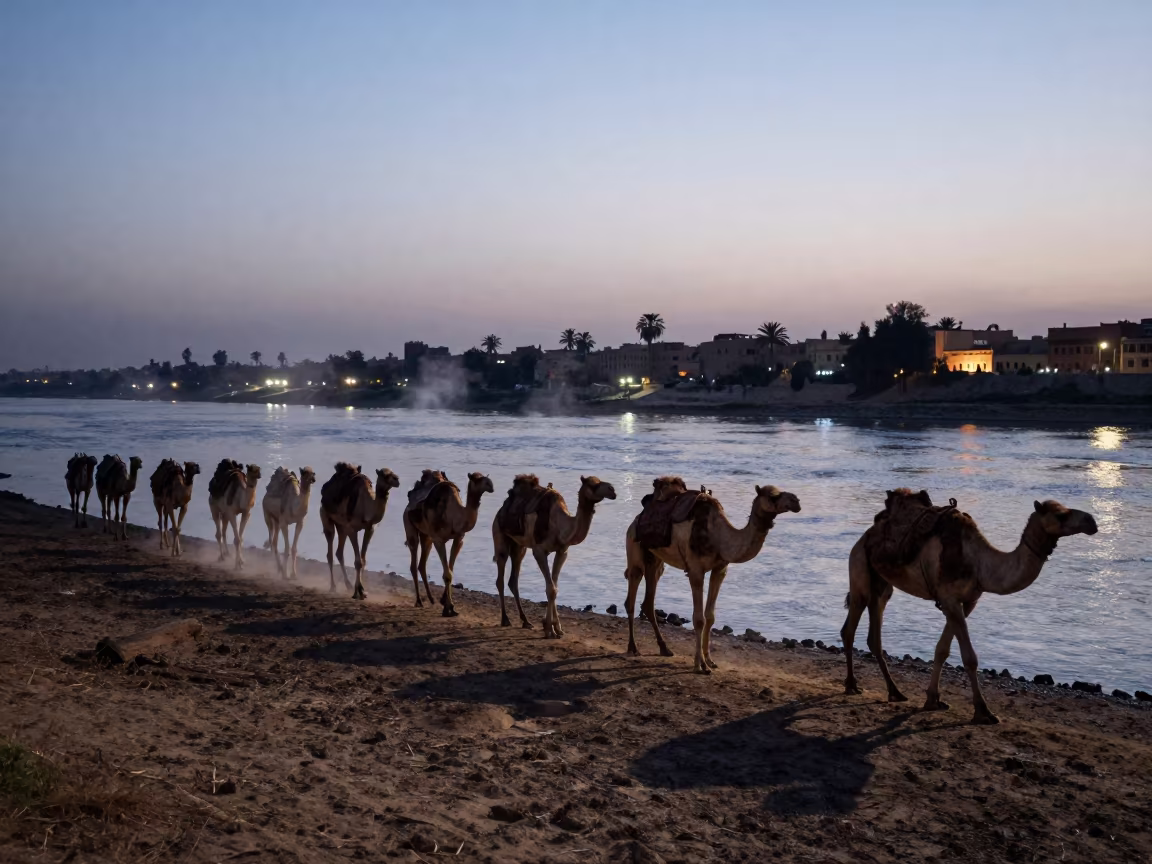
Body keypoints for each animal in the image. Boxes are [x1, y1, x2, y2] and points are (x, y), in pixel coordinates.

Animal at [319, 463, 400, 599]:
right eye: (384, 475)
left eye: (393, 473)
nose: (397, 479)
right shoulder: (352, 529)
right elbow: (358, 562)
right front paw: (359, 592)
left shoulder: (370, 528)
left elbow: (363, 560)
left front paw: (362, 591)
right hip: (326, 516)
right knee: (330, 551)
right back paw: (333, 587)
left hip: (341, 526)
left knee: (339, 552)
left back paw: (348, 585)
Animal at [404, 471, 495, 615]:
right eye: (476, 479)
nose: (491, 485)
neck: (454, 515)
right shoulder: (438, 540)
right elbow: (447, 574)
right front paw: (448, 608)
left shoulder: (459, 538)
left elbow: (450, 571)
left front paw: (447, 604)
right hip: (409, 526)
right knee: (413, 561)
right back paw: (419, 601)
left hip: (426, 536)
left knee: (421, 564)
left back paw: (431, 599)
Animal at [492, 474, 617, 637]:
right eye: (593, 484)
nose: (612, 490)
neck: (560, 526)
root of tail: (500, 510)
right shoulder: (539, 551)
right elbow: (550, 589)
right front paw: (549, 630)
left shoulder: (562, 551)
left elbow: (554, 587)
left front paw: (556, 628)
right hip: (499, 535)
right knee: (500, 577)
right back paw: (505, 619)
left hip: (519, 547)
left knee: (513, 580)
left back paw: (526, 621)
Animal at [624, 479, 801, 673]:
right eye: (772, 496)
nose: (797, 501)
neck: (719, 537)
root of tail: (635, 520)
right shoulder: (695, 570)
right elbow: (698, 619)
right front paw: (699, 665)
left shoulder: (720, 569)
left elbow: (710, 616)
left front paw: (710, 660)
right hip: (634, 548)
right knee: (631, 595)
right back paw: (633, 648)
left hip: (656, 560)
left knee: (648, 599)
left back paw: (665, 648)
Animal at [841, 491, 1098, 724]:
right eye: (1061, 514)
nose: (1092, 522)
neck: (980, 564)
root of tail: (865, 536)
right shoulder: (950, 599)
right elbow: (969, 657)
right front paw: (983, 711)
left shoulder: (967, 602)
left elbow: (942, 650)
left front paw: (933, 700)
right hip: (859, 569)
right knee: (850, 627)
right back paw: (852, 685)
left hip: (882, 585)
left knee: (874, 633)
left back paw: (895, 692)